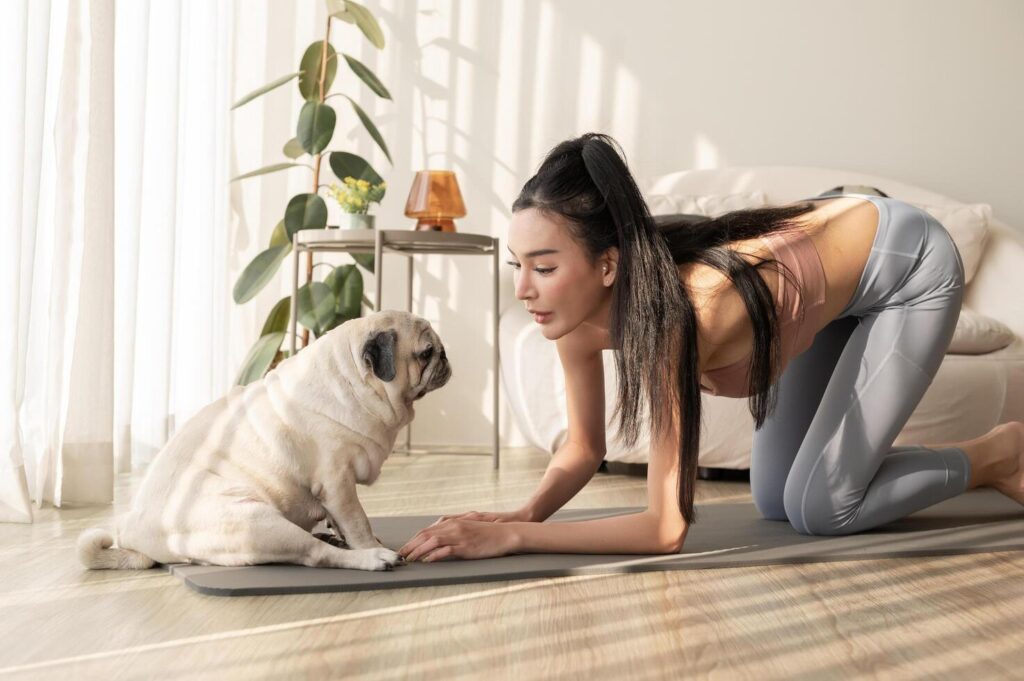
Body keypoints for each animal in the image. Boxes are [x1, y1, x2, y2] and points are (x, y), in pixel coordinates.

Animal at [75, 311, 452, 569]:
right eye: (426, 352)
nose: (446, 356)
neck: (354, 381)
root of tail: (133, 532)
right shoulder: (337, 483)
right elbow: (357, 522)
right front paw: (368, 545)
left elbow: (344, 522)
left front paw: (344, 533)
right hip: (257, 523)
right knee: (316, 555)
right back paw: (369, 558)